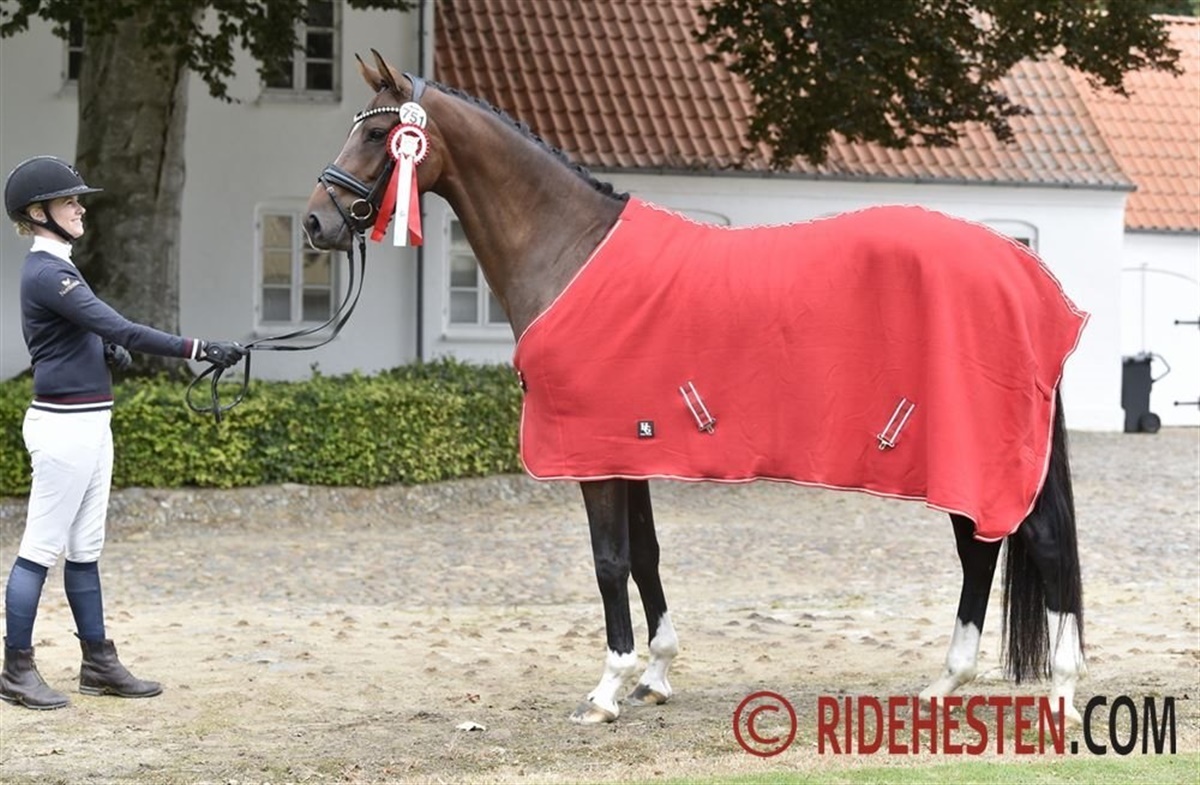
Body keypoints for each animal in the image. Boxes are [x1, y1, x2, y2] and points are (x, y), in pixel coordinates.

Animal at [303, 50, 1087, 726]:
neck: (573, 249)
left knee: (1040, 545)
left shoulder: (594, 450)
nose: (316, 221)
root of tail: (1023, 273)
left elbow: (609, 561)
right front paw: (655, 673)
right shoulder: (630, 445)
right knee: (981, 550)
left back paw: (1063, 689)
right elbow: (646, 554)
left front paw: (607, 689)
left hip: (980, 449)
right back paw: (944, 682)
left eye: (377, 133)